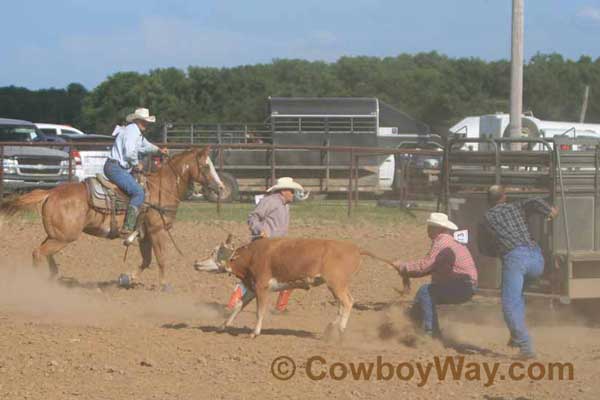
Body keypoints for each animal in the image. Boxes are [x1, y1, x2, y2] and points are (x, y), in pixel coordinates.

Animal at [0, 145, 220, 290]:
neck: (162, 188)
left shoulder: (145, 234)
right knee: (38, 253)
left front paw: (128, 278)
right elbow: (161, 258)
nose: (220, 187)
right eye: (206, 166)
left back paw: (52, 276)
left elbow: (147, 260)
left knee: (44, 253)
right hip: (64, 237)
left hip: (57, 235)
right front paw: (164, 286)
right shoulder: (157, 231)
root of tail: (50, 193)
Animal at [217, 239, 408, 340]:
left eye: (216, 252)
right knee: (343, 303)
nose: (199, 264)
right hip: (338, 285)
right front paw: (223, 325)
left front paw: (254, 333)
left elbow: (259, 311)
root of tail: (355, 249)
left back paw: (340, 329)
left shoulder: (261, 287)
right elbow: (239, 304)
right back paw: (331, 328)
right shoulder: (253, 287)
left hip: (336, 283)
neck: (253, 255)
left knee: (347, 302)